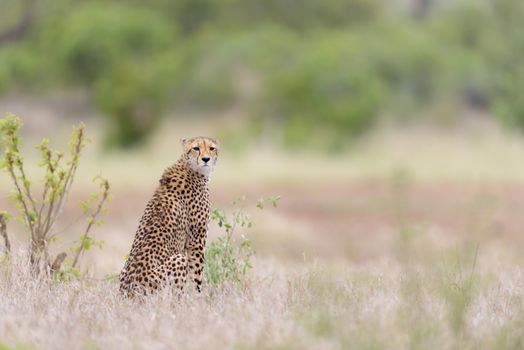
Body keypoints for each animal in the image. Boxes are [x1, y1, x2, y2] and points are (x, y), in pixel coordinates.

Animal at [119, 136, 219, 296]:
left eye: (212, 148)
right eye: (196, 148)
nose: (206, 159)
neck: (190, 167)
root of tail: (127, 293)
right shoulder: (196, 241)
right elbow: (196, 275)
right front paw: (199, 298)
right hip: (178, 259)